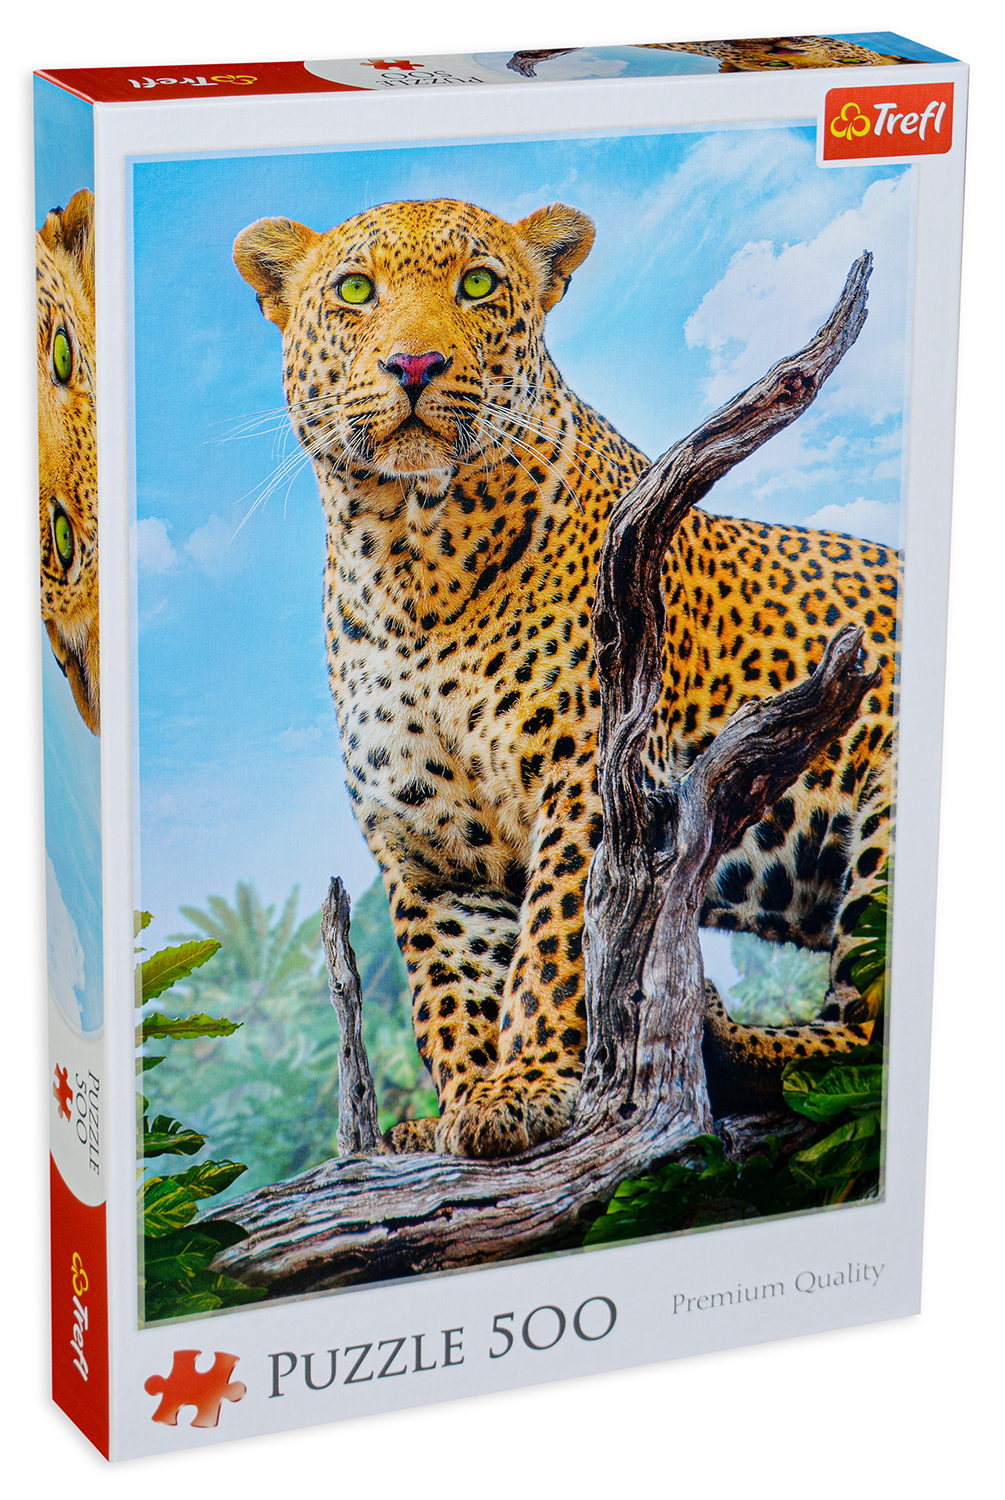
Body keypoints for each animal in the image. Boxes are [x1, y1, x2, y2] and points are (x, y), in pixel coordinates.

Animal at [234, 197, 898, 1159]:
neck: (409, 559)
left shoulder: (593, 777)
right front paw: (461, 1106)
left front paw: (531, 1083)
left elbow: (556, 940)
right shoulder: (427, 845)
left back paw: (717, 1036)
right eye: (355, 291)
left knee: (861, 1031)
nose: (413, 364)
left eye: (478, 283)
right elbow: (449, 989)